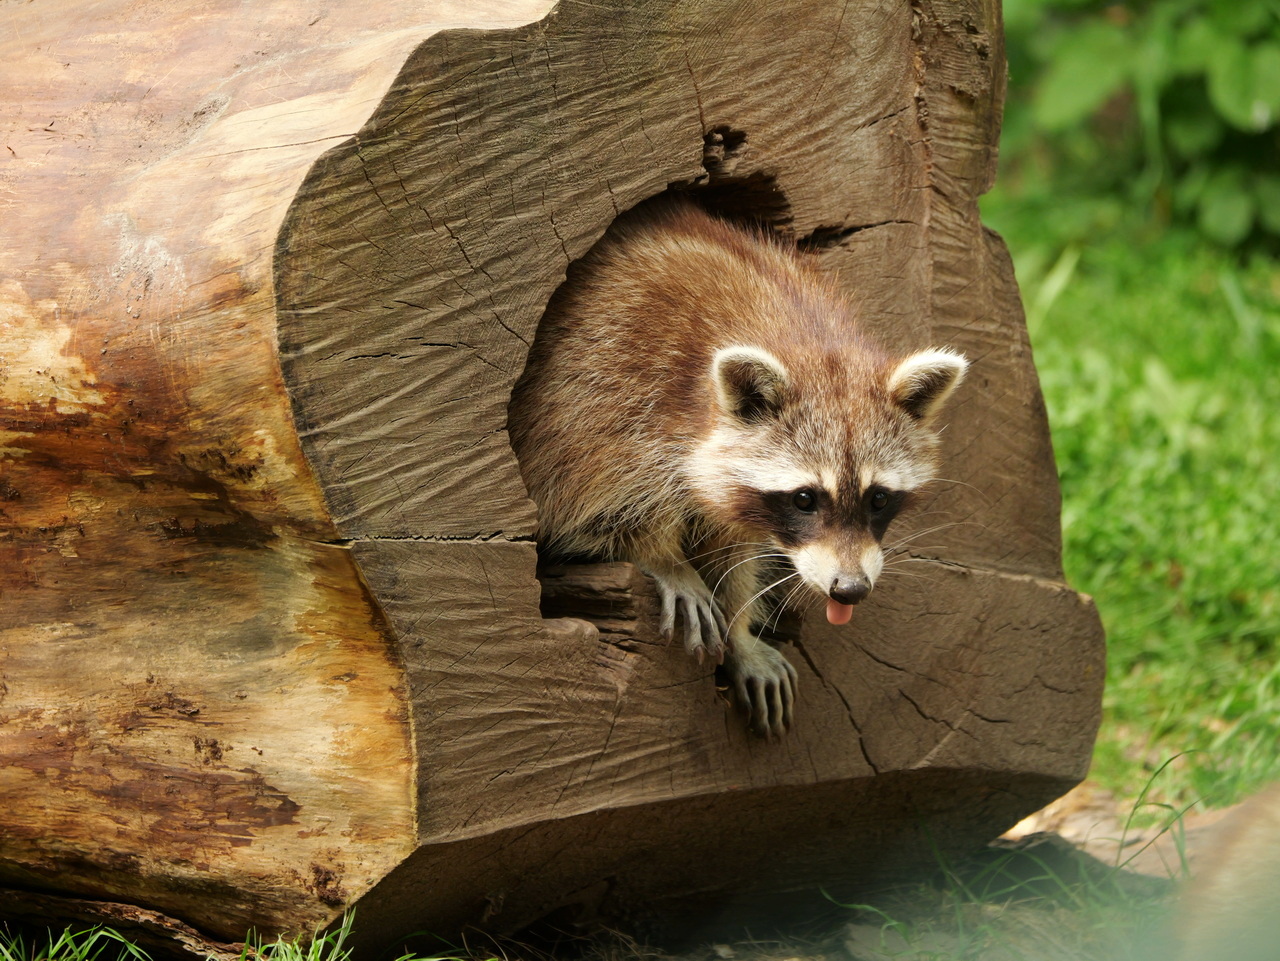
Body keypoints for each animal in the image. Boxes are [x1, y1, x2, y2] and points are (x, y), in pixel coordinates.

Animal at [504, 197, 962, 737]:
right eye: (805, 499)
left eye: (879, 498)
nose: (849, 590)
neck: (806, 337)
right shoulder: (606, 392)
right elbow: (589, 502)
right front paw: (664, 557)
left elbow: (733, 545)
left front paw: (740, 628)